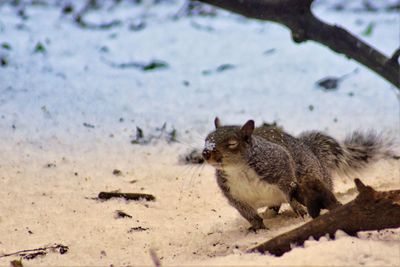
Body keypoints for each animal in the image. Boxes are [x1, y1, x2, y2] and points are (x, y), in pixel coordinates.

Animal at [202, 118, 396, 231]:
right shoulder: (234, 195)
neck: (238, 169)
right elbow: (248, 213)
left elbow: (289, 189)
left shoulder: (279, 164)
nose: (205, 153)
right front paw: (257, 226)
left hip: (314, 180)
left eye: (232, 143)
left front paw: (298, 208)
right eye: (206, 139)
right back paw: (270, 212)